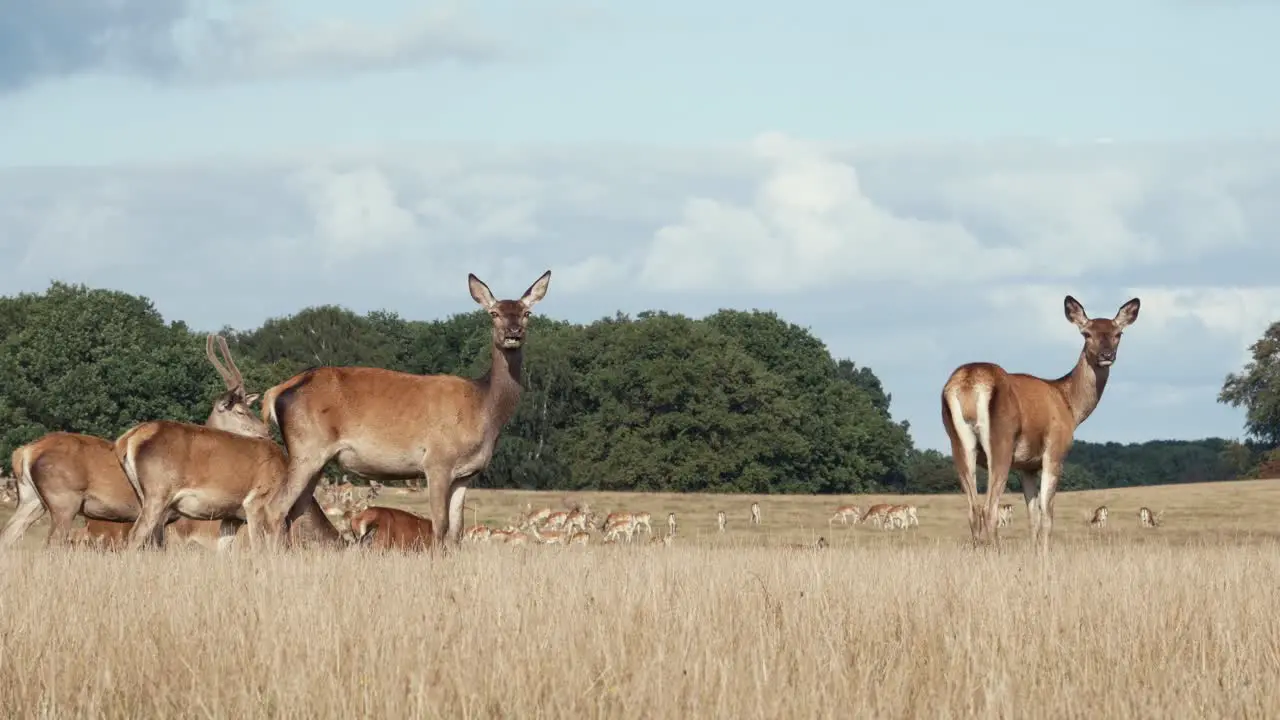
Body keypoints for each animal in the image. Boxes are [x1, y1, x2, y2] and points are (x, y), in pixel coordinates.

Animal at [115, 335, 343, 548]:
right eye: (240, 411)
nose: (267, 431)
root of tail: (128, 439)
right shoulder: (256, 504)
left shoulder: (231, 517)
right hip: (158, 493)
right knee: (135, 536)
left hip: (144, 496)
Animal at [262, 267, 552, 543]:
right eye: (494, 313)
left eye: (527, 313)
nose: (513, 333)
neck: (484, 410)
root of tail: (276, 392)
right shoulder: (437, 461)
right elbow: (440, 526)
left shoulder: (467, 474)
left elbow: (456, 531)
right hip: (307, 447)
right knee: (275, 507)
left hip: (315, 457)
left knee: (296, 509)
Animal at [942, 292, 1141, 548]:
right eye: (1086, 333)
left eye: (1118, 334)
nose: (1106, 355)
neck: (1069, 405)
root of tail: (967, 383)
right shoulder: (1054, 451)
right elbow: (1047, 515)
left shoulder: (1026, 466)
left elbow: (1033, 517)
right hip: (1001, 441)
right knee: (989, 509)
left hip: (958, 442)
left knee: (973, 510)